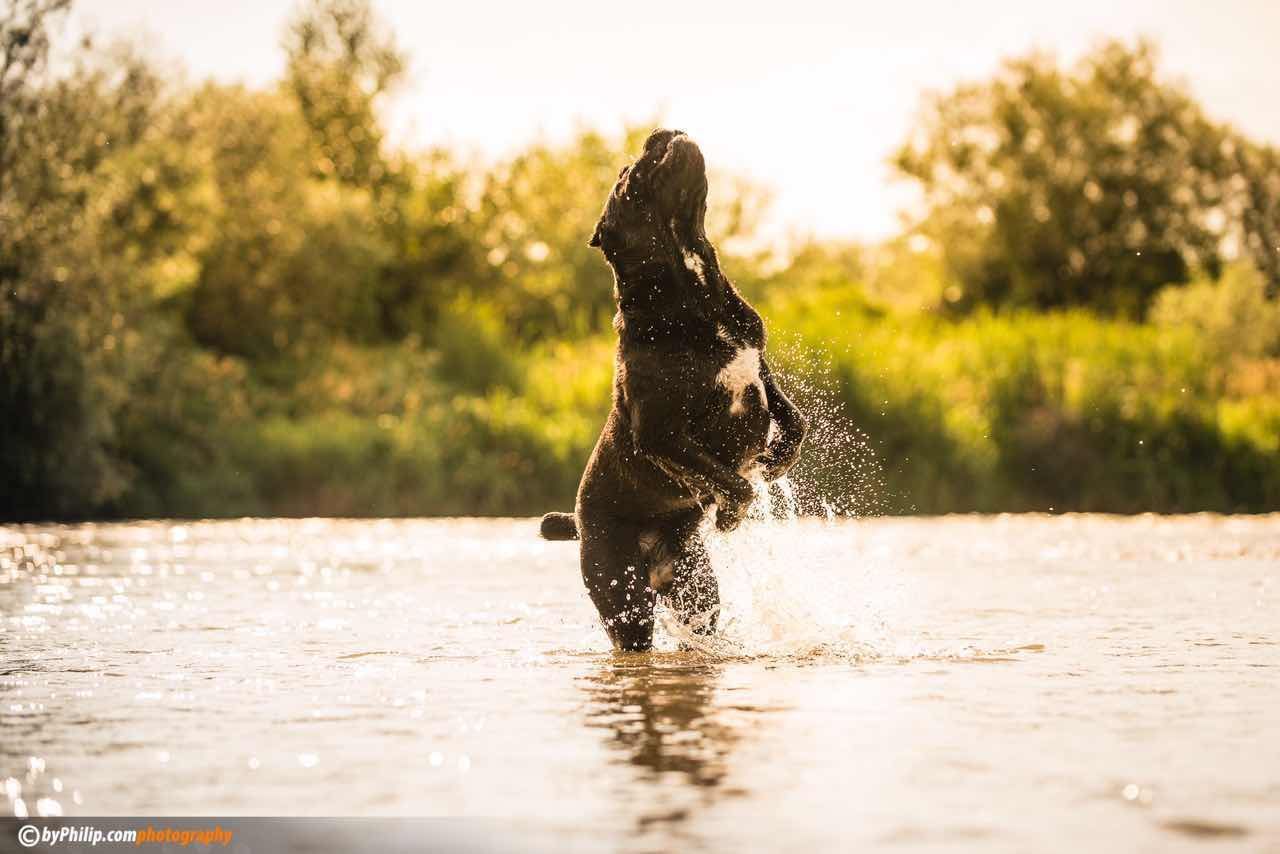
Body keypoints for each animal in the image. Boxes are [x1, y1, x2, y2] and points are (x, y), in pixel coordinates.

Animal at [542, 126, 808, 650]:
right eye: (627, 174)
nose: (660, 132)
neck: (690, 295)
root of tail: (578, 525)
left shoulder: (758, 368)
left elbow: (794, 421)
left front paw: (774, 462)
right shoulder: (660, 432)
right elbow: (729, 479)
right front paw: (729, 514)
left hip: (696, 591)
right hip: (624, 597)